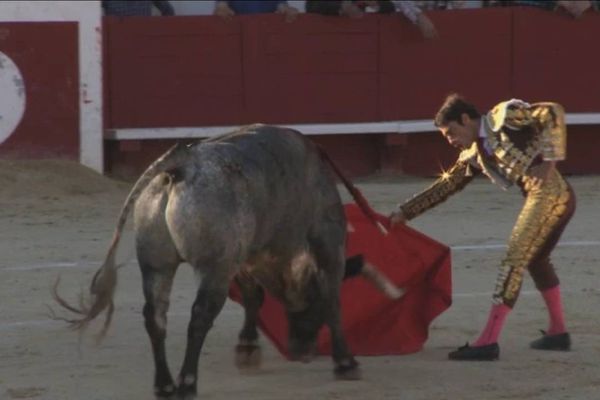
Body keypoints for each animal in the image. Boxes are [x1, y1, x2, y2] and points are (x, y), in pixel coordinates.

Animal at [56, 126, 364, 400]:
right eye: (310, 304)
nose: (301, 352)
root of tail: (182, 163)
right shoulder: (326, 243)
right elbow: (332, 300)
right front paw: (346, 363)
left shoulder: (241, 258)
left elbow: (253, 296)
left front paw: (247, 349)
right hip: (212, 267)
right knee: (200, 315)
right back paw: (187, 382)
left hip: (157, 264)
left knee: (155, 315)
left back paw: (164, 385)